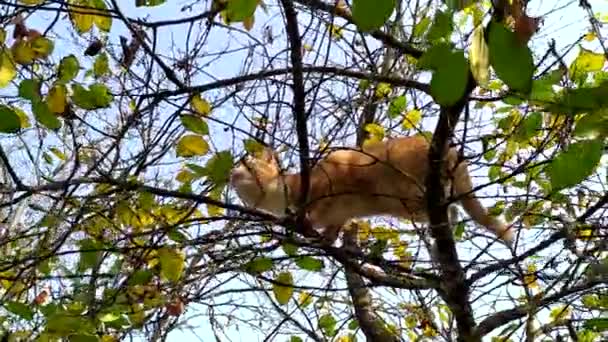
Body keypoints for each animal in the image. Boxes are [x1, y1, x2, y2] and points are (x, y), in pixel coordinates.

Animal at [228, 135, 512, 244]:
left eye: (247, 165)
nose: (231, 173)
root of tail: (455, 153)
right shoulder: (340, 215)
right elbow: (332, 227)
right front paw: (324, 236)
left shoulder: (330, 177)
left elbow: (316, 210)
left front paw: (305, 218)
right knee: (453, 211)